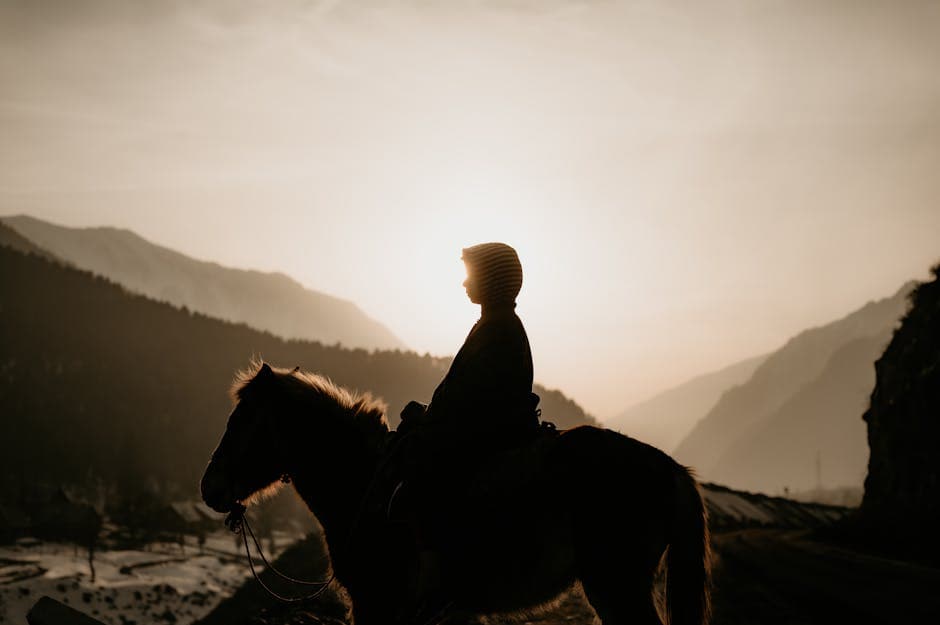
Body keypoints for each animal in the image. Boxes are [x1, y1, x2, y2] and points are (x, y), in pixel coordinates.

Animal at [200, 360, 712, 624]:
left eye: (241, 421)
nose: (210, 486)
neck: (365, 484)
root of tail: (669, 468)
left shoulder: (379, 607)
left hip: (617, 587)